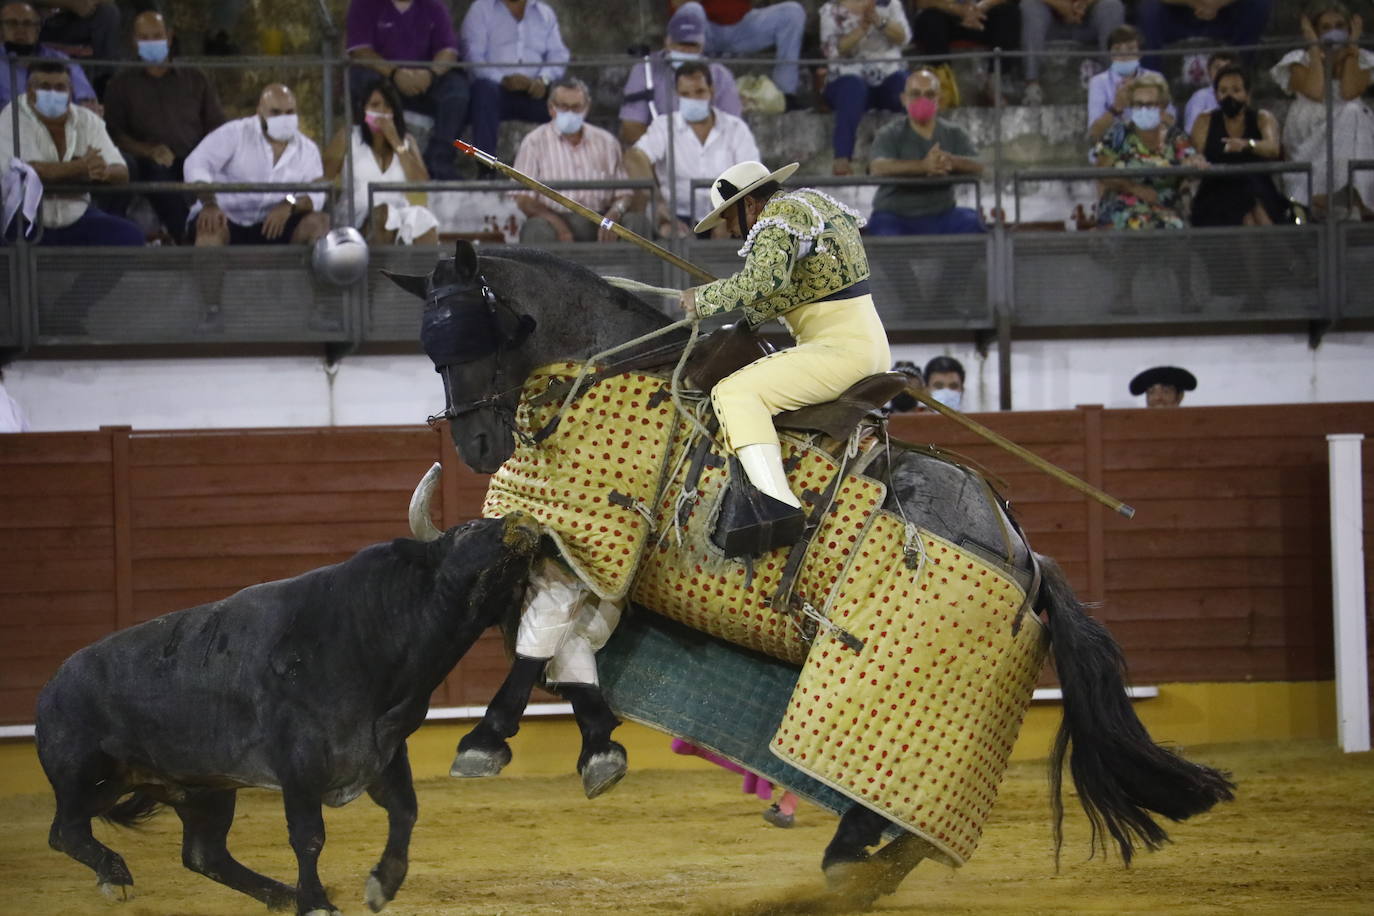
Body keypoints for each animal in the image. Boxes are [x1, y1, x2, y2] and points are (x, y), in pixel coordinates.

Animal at [34, 516, 544, 916]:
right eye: (469, 528)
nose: (523, 522)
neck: (371, 628)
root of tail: (52, 687)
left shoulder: (383, 750)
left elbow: (405, 811)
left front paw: (381, 885)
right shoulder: (299, 765)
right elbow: (309, 835)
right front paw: (316, 902)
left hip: (202, 789)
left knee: (203, 854)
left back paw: (277, 894)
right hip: (87, 776)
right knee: (65, 831)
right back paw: (117, 877)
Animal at [387, 240, 1236, 906]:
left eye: (473, 333)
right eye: (430, 351)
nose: (477, 446)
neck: (607, 363)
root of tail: (1027, 552)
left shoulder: (589, 535)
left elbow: (540, 638)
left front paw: (488, 740)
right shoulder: (588, 556)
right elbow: (567, 644)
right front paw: (594, 747)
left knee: (891, 802)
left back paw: (845, 863)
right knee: (911, 825)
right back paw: (859, 868)